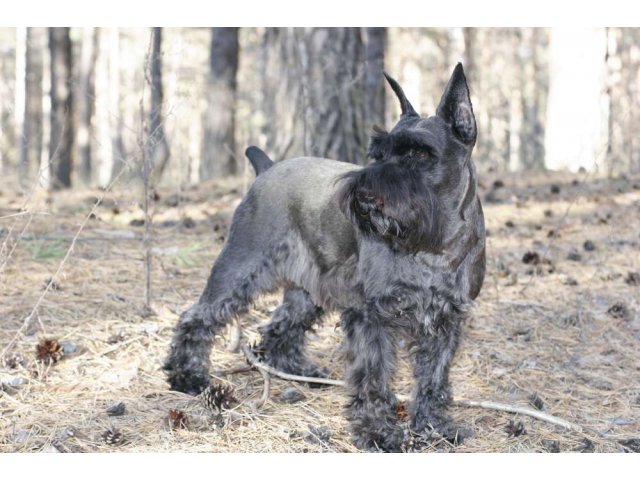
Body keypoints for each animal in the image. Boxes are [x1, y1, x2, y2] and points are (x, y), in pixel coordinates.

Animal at [165, 62, 484, 450]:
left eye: (421, 154)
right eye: (378, 154)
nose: (363, 193)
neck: (431, 246)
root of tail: (267, 168)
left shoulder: (446, 321)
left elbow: (434, 379)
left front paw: (434, 428)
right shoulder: (371, 316)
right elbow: (373, 378)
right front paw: (378, 432)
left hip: (309, 289)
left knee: (279, 326)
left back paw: (299, 372)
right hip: (239, 270)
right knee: (197, 317)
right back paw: (187, 377)